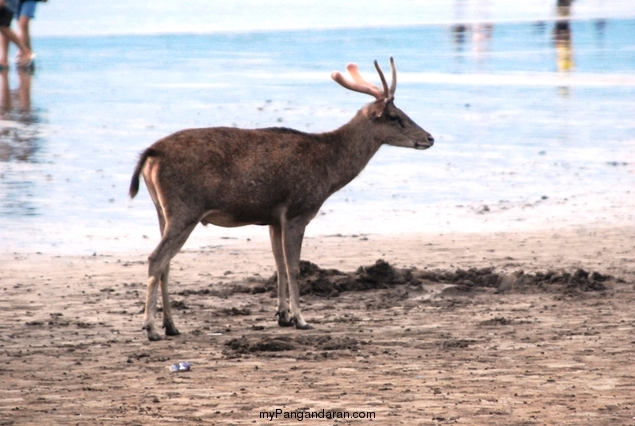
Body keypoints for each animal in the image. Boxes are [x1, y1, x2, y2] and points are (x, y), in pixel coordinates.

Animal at [129, 58, 438, 342]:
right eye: (394, 116)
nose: (429, 138)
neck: (329, 169)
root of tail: (151, 153)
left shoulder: (273, 218)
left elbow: (277, 264)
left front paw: (283, 316)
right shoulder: (298, 211)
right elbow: (293, 267)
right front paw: (301, 319)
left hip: (162, 211)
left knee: (166, 264)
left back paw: (171, 326)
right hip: (185, 209)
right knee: (156, 259)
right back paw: (151, 328)